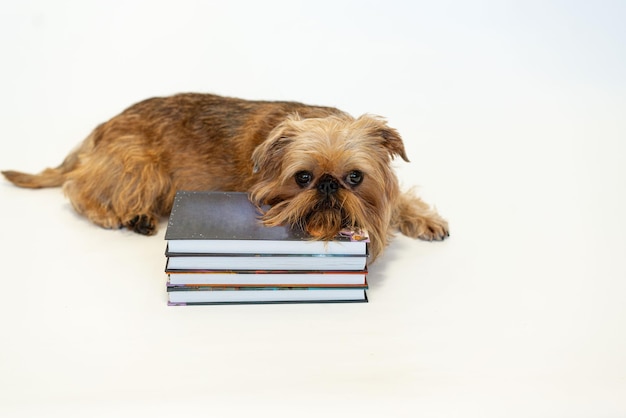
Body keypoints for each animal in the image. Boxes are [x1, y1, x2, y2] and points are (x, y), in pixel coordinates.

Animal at [2, 94, 446, 262]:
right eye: (302, 177)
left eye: (355, 177)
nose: (328, 184)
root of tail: (99, 129)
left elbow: (401, 199)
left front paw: (424, 218)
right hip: (140, 165)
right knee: (79, 188)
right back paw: (123, 215)